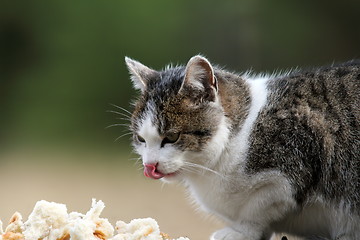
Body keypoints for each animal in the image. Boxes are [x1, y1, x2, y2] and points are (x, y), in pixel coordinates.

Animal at [124, 54, 360, 240]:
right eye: (141, 139)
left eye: (172, 137)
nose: (149, 166)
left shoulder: (297, 157)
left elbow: (259, 207)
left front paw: (242, 231)